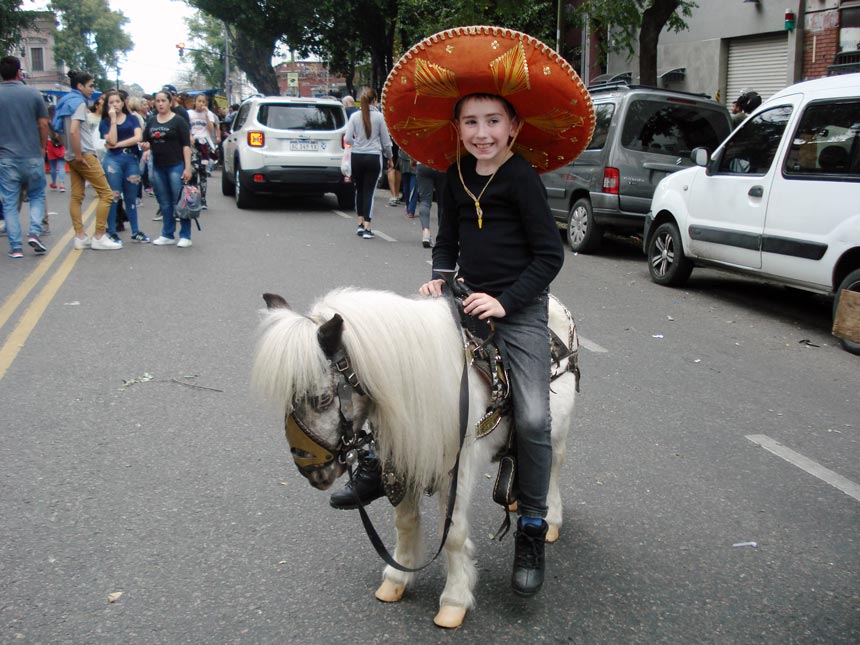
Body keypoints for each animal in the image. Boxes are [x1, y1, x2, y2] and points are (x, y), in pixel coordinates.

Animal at [252, 290, 580, 628]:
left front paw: (454, 599)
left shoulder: (457, 471)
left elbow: (453, 535)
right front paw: (397, 578)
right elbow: (406, 522)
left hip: (555, 431)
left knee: (552, 467)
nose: (311, 469)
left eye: (324, 399)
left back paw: (549, 522)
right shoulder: (401, 460)